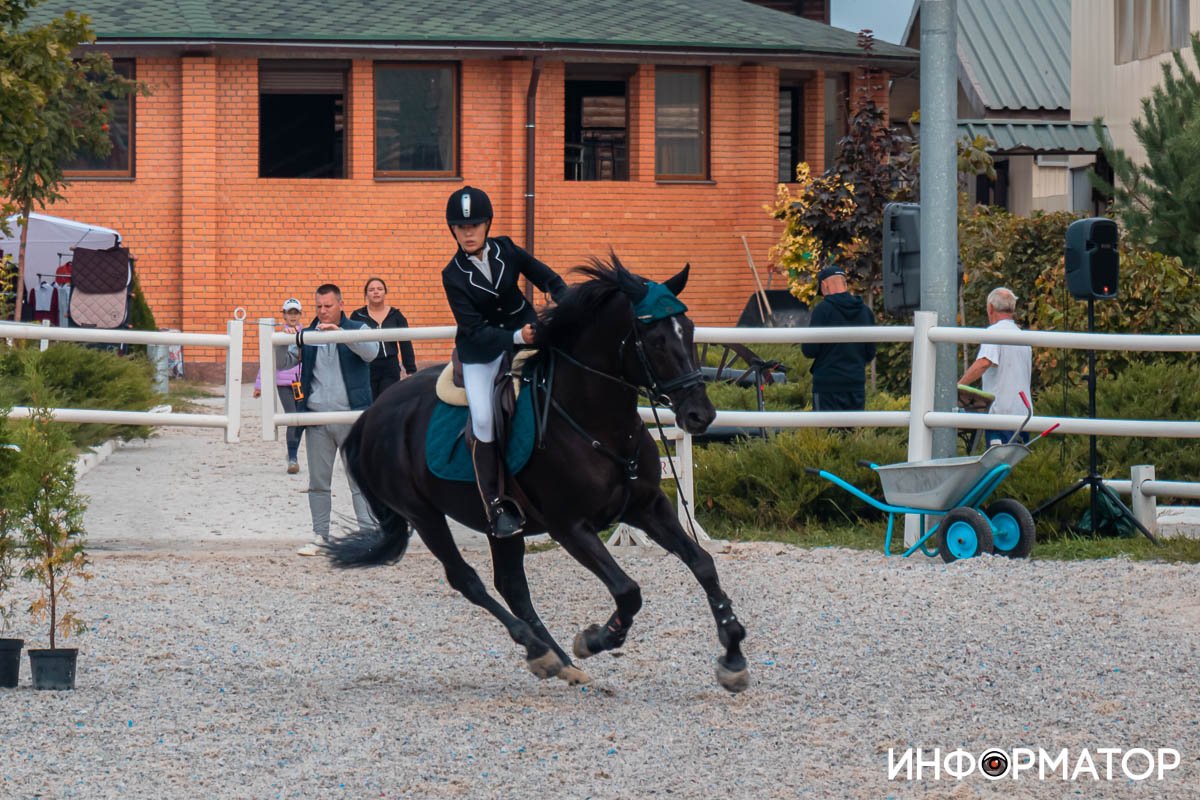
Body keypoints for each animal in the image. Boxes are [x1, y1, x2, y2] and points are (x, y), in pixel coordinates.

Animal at [326, 255, 749, 693]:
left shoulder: (647, 506)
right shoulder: (570, 526)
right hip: (423, 515)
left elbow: (703, 563)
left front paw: (733, 656)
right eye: (656, 340)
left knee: (511, 585)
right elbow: (628, 590)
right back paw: (539, 650)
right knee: (467, 580)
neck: (597, 423)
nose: (700, 415)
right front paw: (596, 639)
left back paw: (557, 659)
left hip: (500, 525)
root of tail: (371, 414)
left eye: (691, 330)